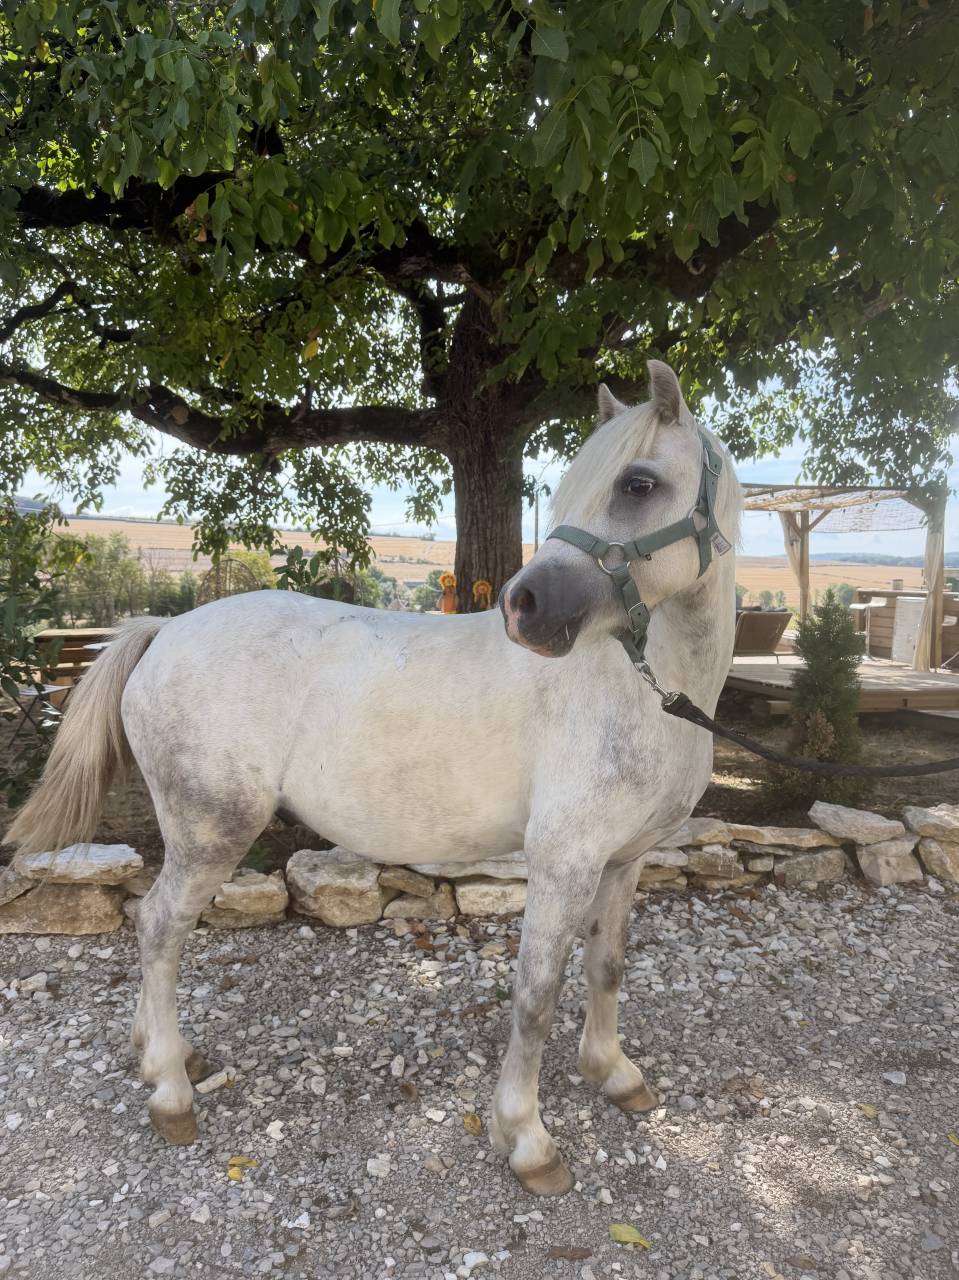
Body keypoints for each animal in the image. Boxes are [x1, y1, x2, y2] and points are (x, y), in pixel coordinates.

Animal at [6, 360, 741, 1197]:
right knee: (160, 925)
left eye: (638, 484)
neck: (641, 691)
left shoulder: (624, 862)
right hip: (211, 831)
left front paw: (612, 1074)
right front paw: (526, 1138)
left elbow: (607, 967)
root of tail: (164, 633)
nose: (522, 607)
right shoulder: (562, 865)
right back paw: (169, 1091)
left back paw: (162, 1052)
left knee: (155, 930)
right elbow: (535, 995)